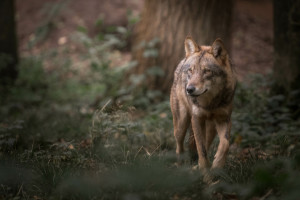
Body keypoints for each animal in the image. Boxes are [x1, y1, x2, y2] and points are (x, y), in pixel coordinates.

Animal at [170, 37, 236, 170]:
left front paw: (217, 165)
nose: (189, 89)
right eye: (191, 70)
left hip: (211, 129)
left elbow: (225, 144)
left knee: (206, 143)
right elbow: (201, 149)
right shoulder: (197, 119)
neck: (210, 103)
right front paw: (206, 172)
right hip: (181, 125)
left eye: (206, 71)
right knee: (179, 146)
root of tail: (182, 60)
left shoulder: (224, 119)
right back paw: (180, 166)